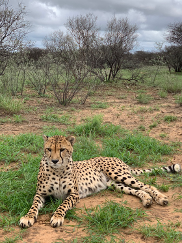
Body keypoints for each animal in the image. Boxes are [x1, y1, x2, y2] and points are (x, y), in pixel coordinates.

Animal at [19, 135, 181, 228]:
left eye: (62, 149)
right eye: (48, 149)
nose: (54, 160)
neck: (57, 170)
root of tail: (116, 158)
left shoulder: (74, 194)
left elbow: (63, 205)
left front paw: (57, 217)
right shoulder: (40, 194)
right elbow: (33, 206)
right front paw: (28, 217)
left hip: (118, 174)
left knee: (147, 185)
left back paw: (161, 198)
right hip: (114, 184)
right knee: (138, 190)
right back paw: (147, 200)